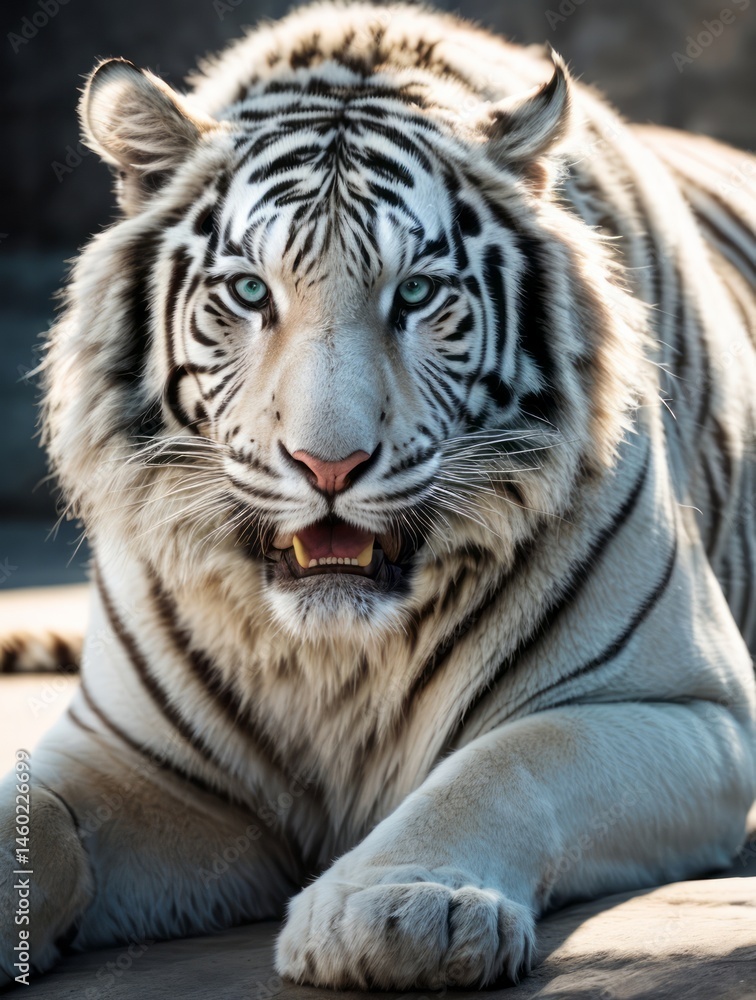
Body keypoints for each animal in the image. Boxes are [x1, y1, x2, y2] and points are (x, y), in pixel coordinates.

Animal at [1, 0, 755, 990]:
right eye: (251, 291)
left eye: (419, 293)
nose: (329, 466)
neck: (333, 658)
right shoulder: (139, 758)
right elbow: (34, 819)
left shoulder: (684, 706)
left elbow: (509, 761)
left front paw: (406, 908)